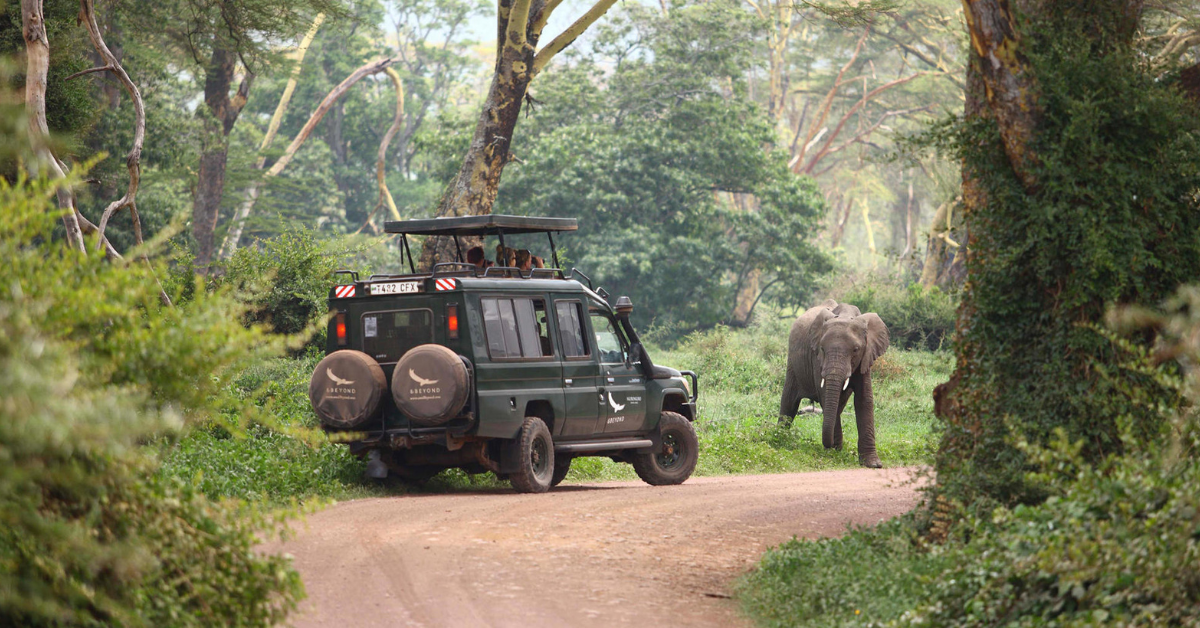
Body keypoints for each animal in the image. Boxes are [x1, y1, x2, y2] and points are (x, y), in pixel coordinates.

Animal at [779, 299, 890, 468]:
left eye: (856, 349)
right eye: (822, 349)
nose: (829, 445)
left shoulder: (866, 357)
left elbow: (864, 400)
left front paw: (873, 464)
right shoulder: (817, 359)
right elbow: (825, 396)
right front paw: (834, 452)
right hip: (793, 363)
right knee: (789, 402)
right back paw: (778, 437)